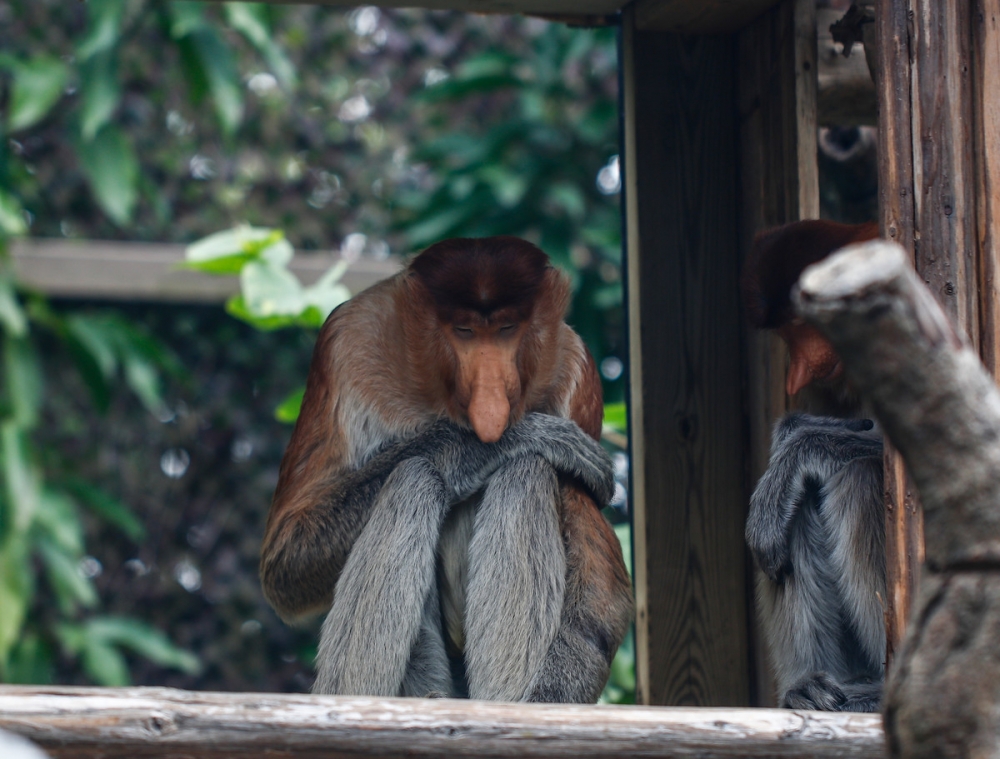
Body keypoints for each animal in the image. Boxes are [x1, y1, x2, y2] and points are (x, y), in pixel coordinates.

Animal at [260, 236, 632, 700]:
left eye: (507, 329)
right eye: (465, 331)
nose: (491, 397)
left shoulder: (577, 371)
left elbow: (603, 591)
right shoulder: (345, 342)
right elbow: (285, 556)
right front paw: (494, 443)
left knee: (526, 472)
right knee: (414, 478)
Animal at [744, 220, 884, 712]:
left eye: (806, 326)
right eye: (788, 335)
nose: (796, 373)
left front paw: (797, 449)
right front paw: (791, 432)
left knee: (860, 480)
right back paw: (808, 687)